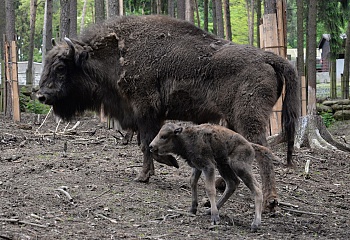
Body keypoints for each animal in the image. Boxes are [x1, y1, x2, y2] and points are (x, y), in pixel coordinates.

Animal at [37, 14, 300, 210]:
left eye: (60, 67)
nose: (41, 95)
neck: (116, 55)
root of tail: (268, 57)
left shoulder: (145, 110)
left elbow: (147, 144)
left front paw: (148, 173)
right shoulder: (149, 115)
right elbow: (147, 144)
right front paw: (157, 168)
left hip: (248, 118)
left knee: (262, 151)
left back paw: (269, 201)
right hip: (233, 120)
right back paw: (220, 185)